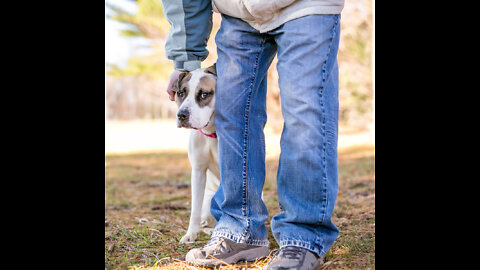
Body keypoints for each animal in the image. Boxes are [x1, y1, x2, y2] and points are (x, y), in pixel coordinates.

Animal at [171, 63, 219, 245]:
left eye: (204, 94)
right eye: (181, 93)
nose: (181, 115)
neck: (213, 134)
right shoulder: (198, 171)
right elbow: (195, 209)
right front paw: (191, 234)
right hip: (208, 203)